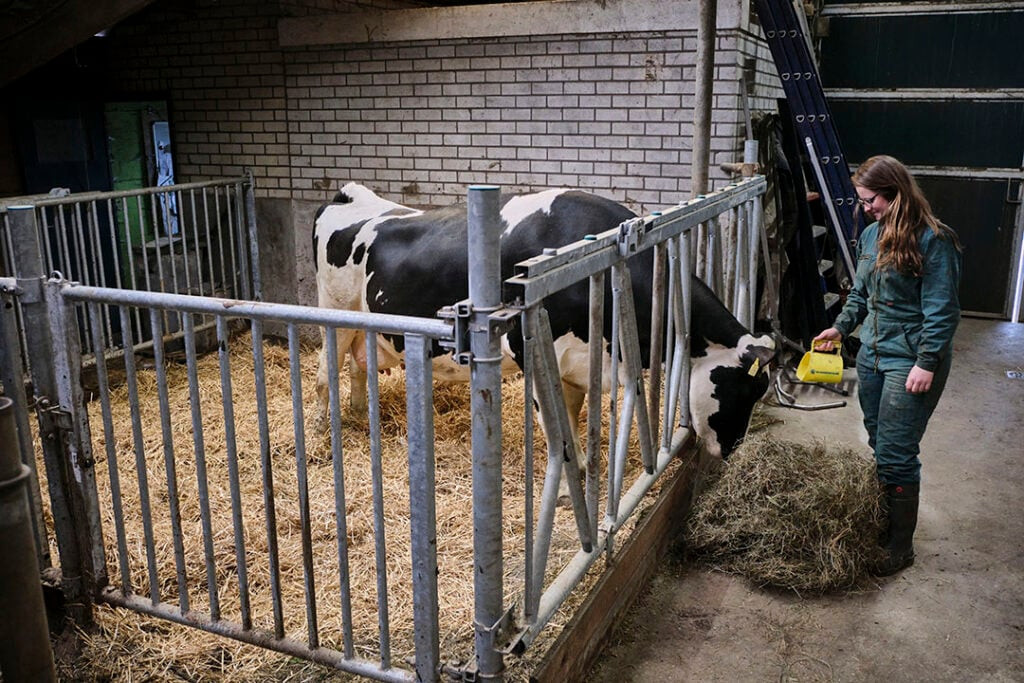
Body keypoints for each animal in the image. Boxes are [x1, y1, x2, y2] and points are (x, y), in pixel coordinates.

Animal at [311, 184, 774, 464]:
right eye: (744, 389)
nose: (731, 450)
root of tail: (350, 197)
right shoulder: (531, 348)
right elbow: (560, 440)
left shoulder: (578, 361)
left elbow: (573, 420)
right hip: (334, 311)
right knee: (324, 374)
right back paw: (321, 433)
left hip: (365, 326)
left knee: (358, 365)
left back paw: (359, 416)